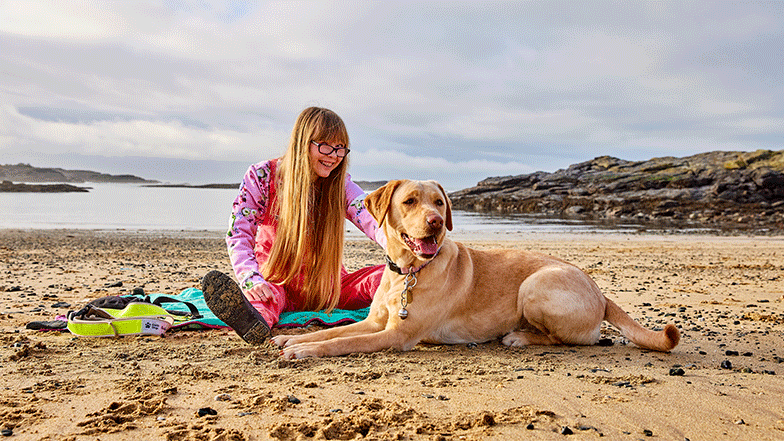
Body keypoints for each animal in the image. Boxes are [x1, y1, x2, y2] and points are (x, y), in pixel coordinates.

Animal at [272, 179, 676, 358]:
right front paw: (292, 339)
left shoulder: (396, 336)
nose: (436, 222)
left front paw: (303, 351)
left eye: (439, 202)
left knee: (571, 340)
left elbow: (343, 342)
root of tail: (601, 293)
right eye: (410, 201)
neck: (409, 272)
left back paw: (520, 337)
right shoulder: (374, 322)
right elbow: (333, 332)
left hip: (535, 286)